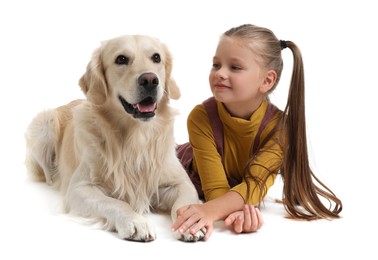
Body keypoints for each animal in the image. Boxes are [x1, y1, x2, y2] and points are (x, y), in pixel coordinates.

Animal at [24, 34, 204, 242]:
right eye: (121, 59)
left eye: (156, 57)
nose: (150, 80)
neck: (137, 136)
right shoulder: (80, 188)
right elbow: (116, 203)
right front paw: (136, 222)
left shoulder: (181, 183)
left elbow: (186, 203)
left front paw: (191, 223)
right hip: (45, 123)